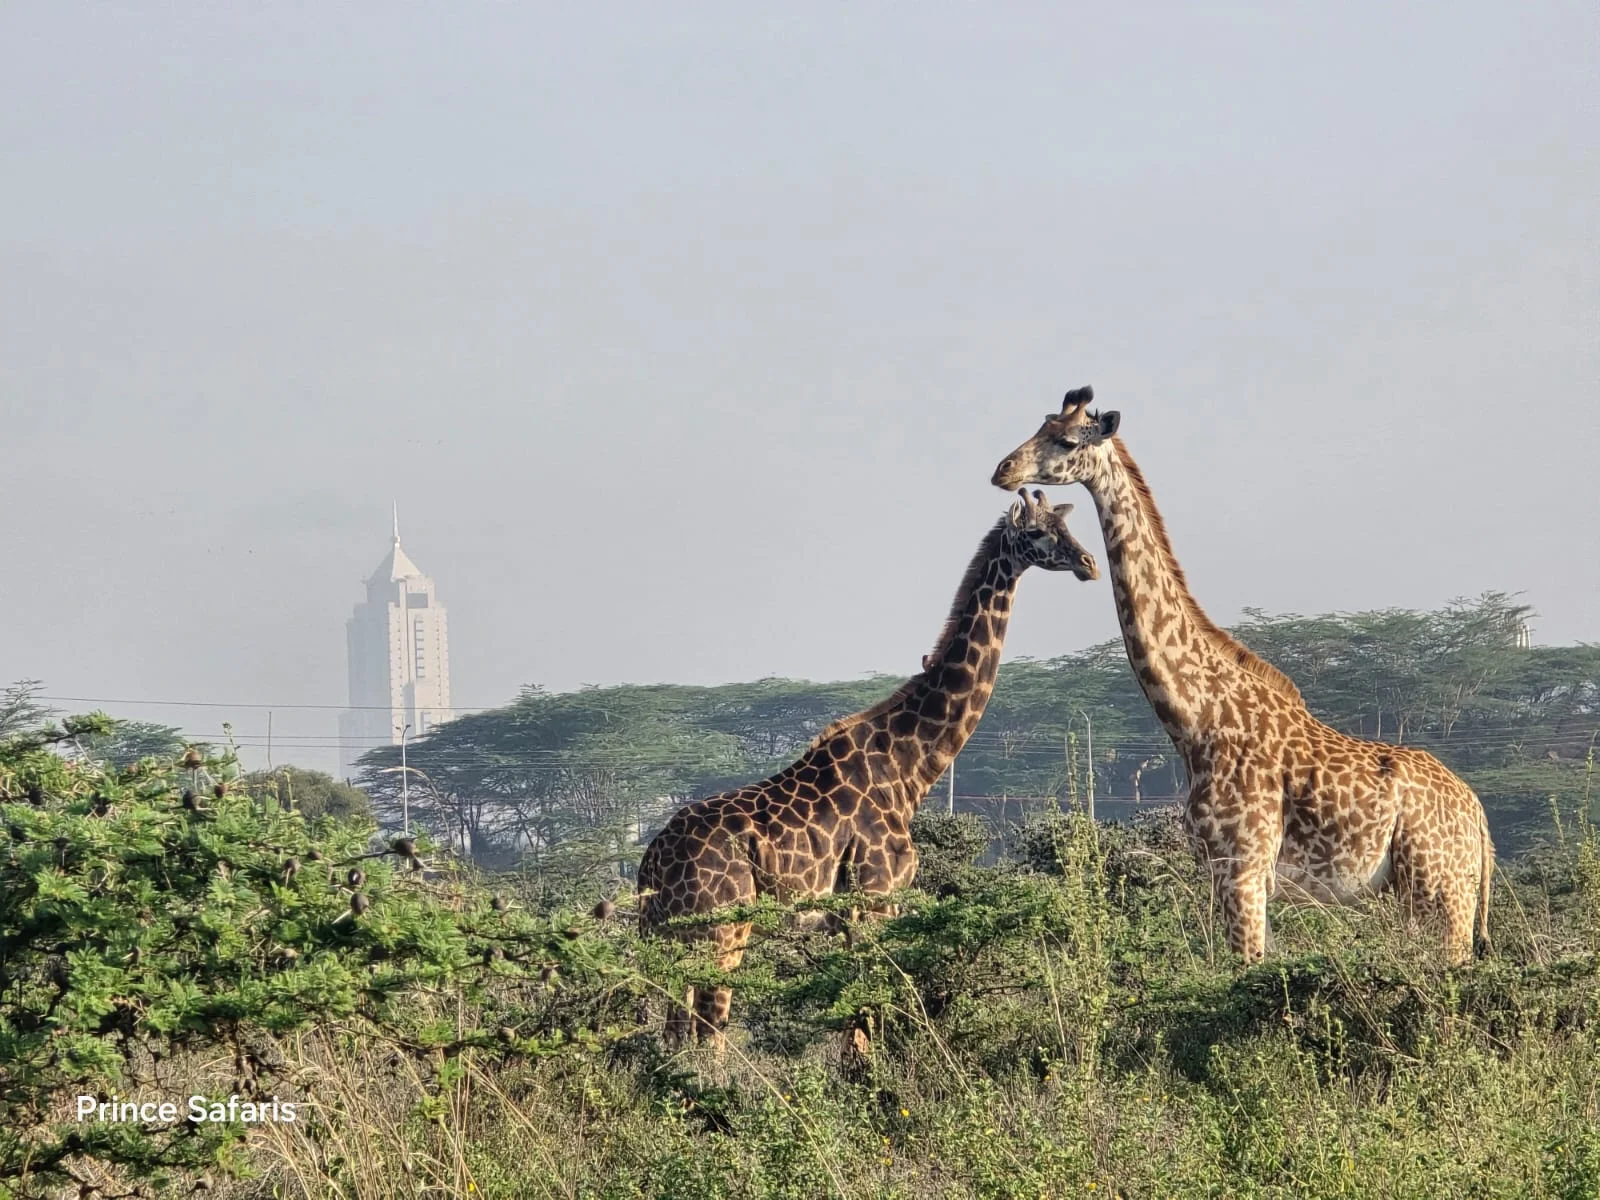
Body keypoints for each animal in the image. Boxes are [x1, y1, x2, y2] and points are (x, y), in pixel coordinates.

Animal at [638, 490, 1100, 1044]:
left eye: (1065, 525)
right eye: (1036, 533)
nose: (1089, 563)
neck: (909, 767)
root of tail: (651, 862)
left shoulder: (855, 914)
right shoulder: (876, 898)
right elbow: (865, 1021)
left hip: (674, 937)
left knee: (672, 1032)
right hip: (723, 927)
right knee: (707, 1032)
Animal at [991, 388, 1494, 965]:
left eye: (1068, 440)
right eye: (1041, 425)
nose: (1003, 470)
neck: (1196, 718)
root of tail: (1479, 818)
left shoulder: (1243, 866)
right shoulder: (1222, 871)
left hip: (1441, 891)